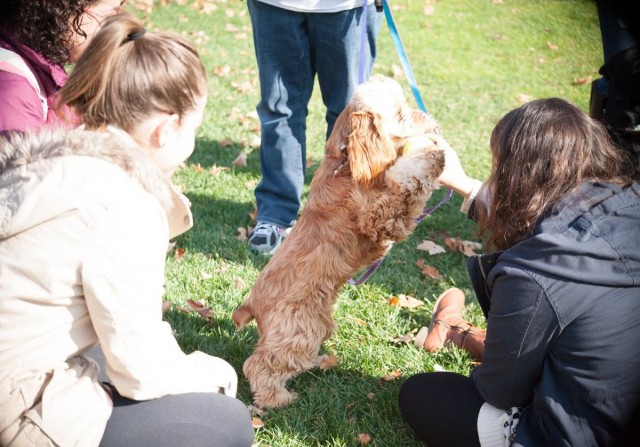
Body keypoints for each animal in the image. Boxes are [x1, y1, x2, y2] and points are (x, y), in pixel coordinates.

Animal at [232, 74, 448, 410]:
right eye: (400, 113)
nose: (430, 119)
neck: (345, 161)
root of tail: (251, 304)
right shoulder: (378, 217)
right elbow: (405, 183)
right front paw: (430, 154)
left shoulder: (397, 218)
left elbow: (413, 195)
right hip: (299, 329)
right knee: (261, 364)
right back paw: (277, 398)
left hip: (319, 323)